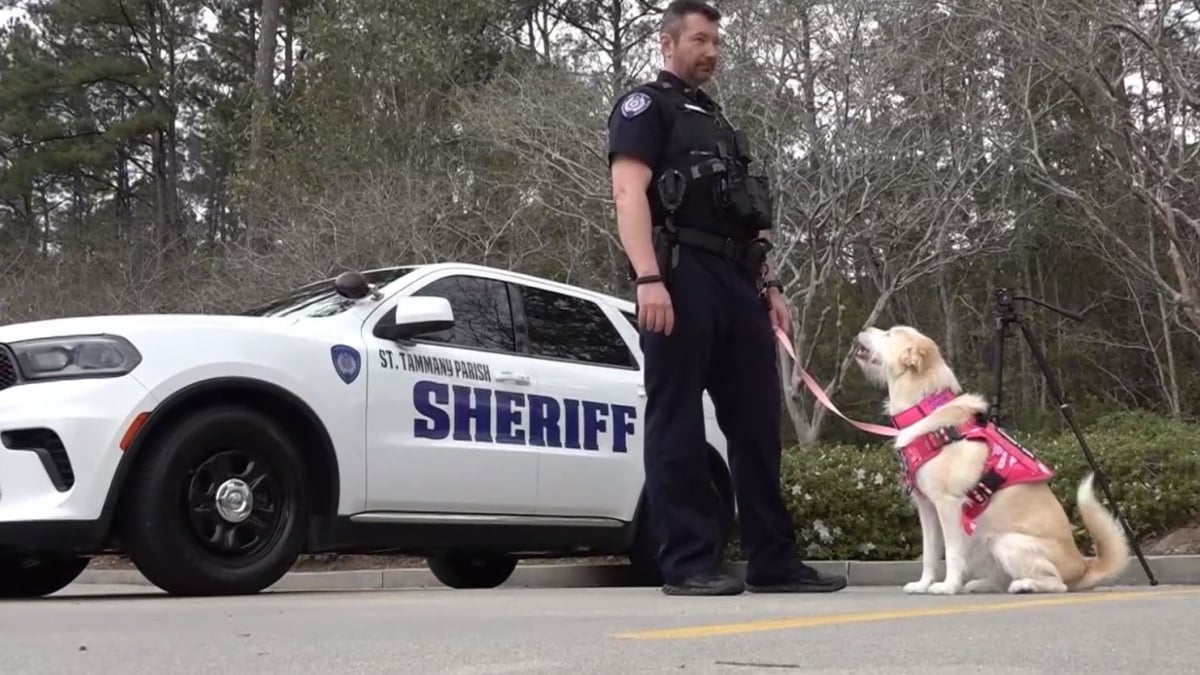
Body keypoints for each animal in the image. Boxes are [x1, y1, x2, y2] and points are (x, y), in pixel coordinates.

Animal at [854, 324, 1123, 590]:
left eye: (889, 334)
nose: (863, 329)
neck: (924, 407)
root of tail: (1083, 565)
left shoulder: (948, 504)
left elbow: (951, 554)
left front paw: (948, 586)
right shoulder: (927, 508)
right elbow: (930, 554)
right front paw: (923, 585)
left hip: (1005, 542)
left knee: (1057, 584)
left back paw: (1024, 585)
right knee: (1001, 579)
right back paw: (979, 585)